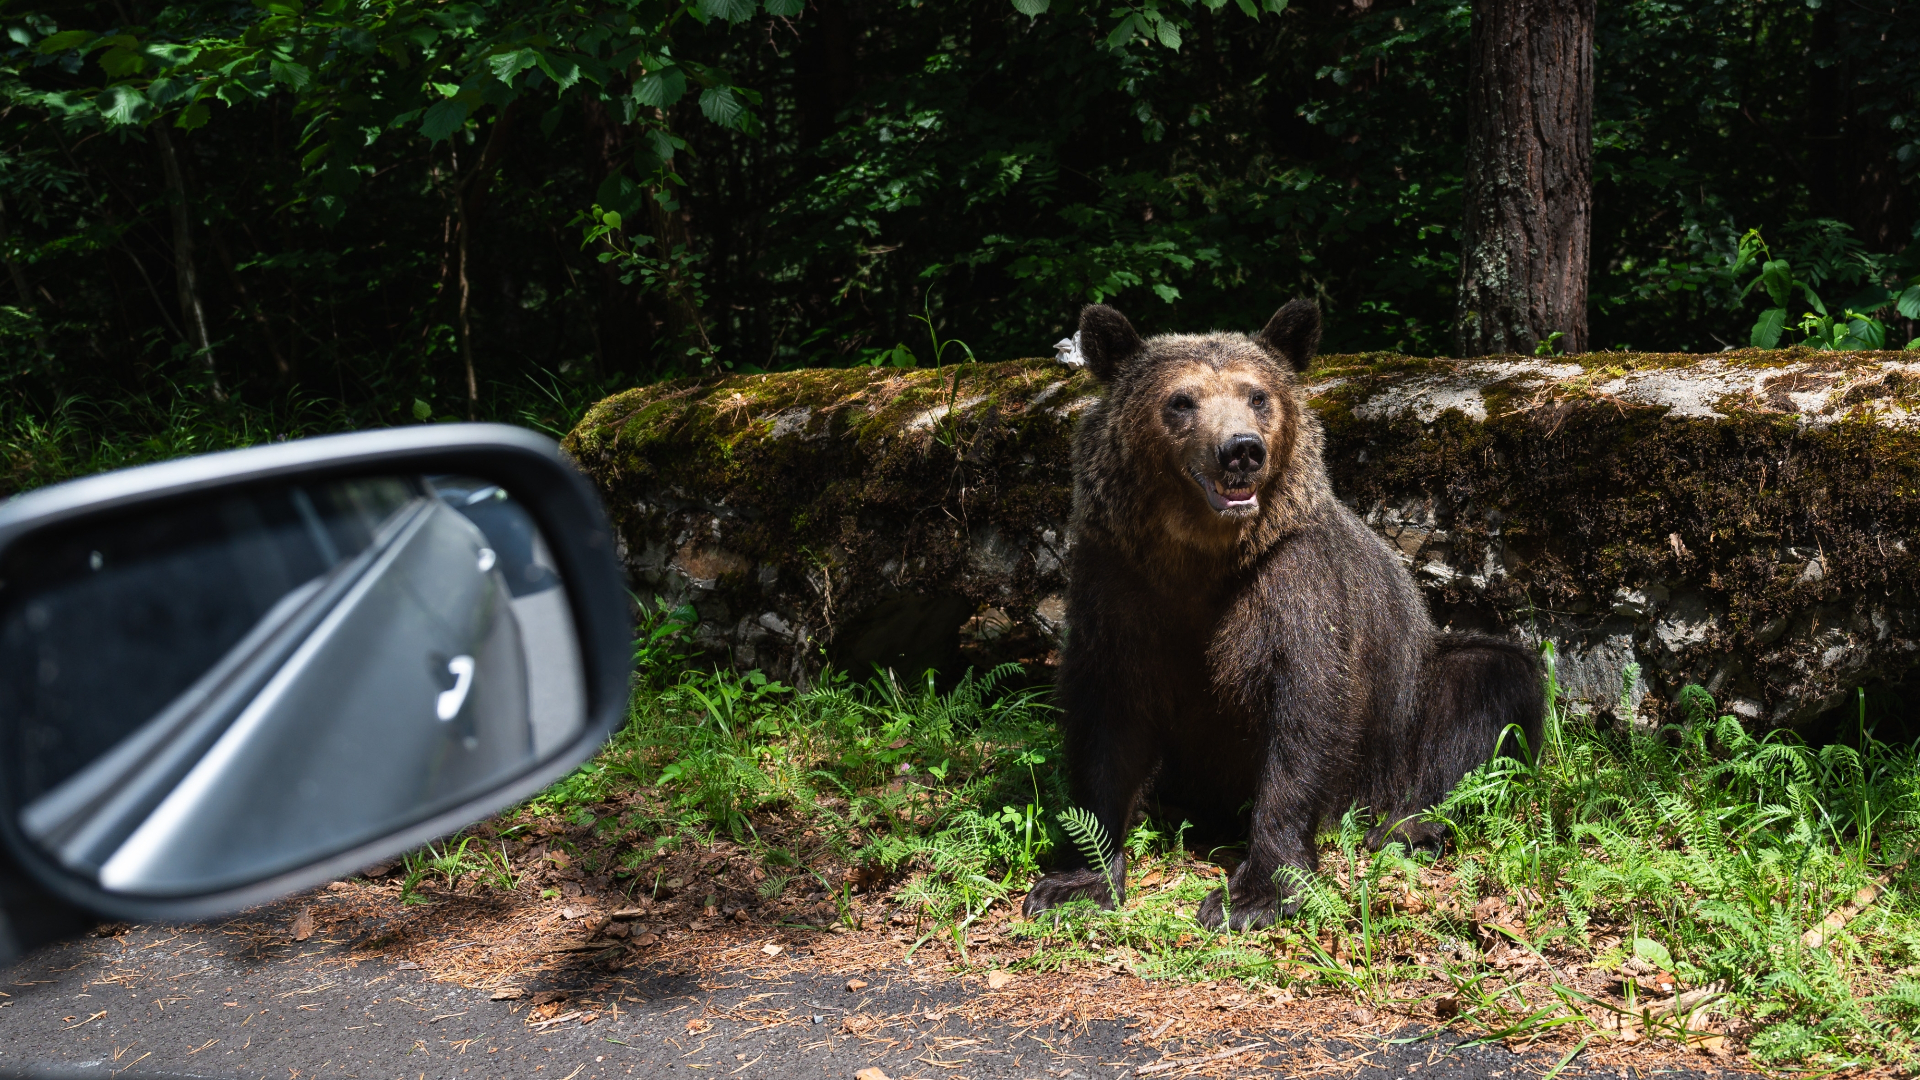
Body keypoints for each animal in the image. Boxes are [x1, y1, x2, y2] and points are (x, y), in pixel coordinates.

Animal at [1021, 297, 1543, 930]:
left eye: (1257, 395)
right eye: (1181, 400)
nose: (1241, 449)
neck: (1200, 556)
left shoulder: (1292, 580)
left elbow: (1303, 713)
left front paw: (1254, 893)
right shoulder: (1118, 580)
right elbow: (1108, 717)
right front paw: (1077, 879)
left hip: (1404, 714)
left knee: (1488, 682)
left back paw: (1409, 827)